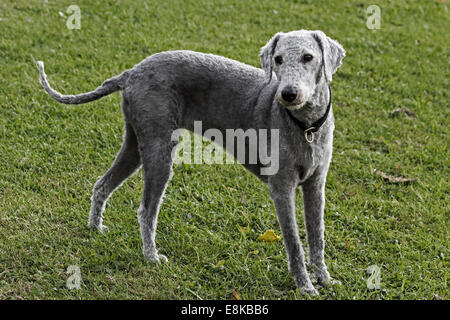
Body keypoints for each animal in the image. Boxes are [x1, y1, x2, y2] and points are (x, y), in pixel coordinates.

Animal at [37, 30, 344, 296]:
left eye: (308, 57)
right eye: (278, 59)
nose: (288, 94)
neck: (306, 126)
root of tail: (131, 73)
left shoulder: (316, 186)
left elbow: (317, 238)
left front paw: (325, 280)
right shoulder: (281, 189)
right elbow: (294, 243)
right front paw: (305, 287)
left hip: (135, 143)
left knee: (102, 185)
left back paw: (95, 228)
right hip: (159, 151)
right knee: (146, 211)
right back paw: (151, 256)